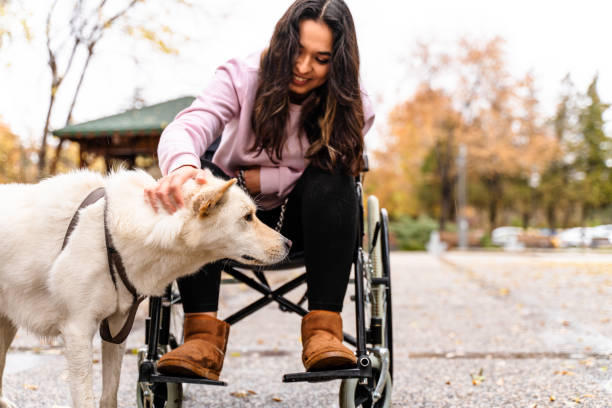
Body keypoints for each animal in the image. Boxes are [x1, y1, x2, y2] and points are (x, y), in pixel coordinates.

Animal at [0, 167, 290, 406]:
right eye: (248, 217)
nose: (289, 243)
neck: (112, 233)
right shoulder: (78, 332)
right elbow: (87, 399)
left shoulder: (116, 328)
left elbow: (109, 395)